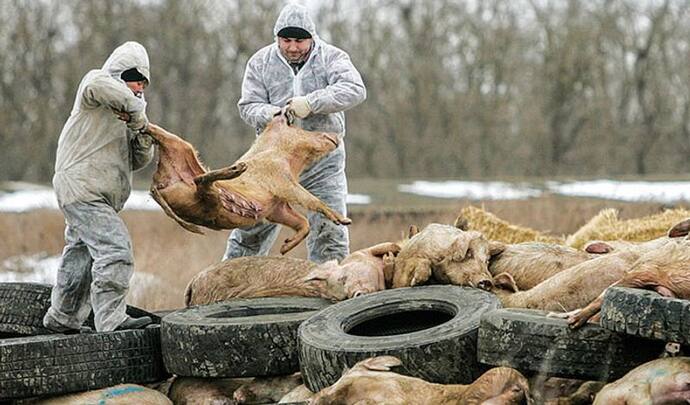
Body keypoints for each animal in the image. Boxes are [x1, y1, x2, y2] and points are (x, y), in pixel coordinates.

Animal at [146, 107, 350, 252]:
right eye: (302, 129)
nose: (335, 136)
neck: (288, 158)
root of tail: (158, 184)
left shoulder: (276, 208)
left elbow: (302, 222)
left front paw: (284, 248)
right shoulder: (281, 179)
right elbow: (311, 199)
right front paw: (344, 221)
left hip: (183, 150)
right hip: (206, 198)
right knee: (201, 181)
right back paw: (238, 169)